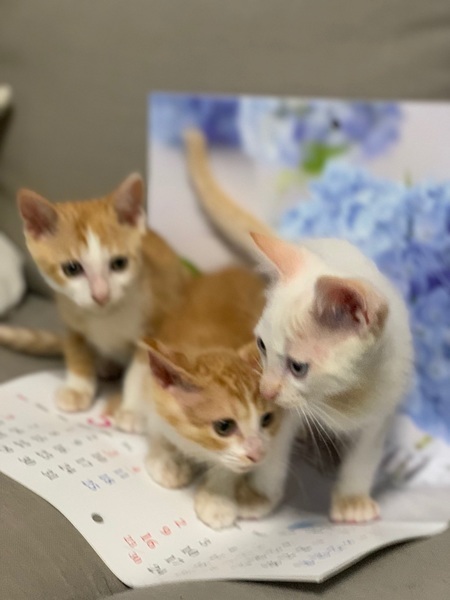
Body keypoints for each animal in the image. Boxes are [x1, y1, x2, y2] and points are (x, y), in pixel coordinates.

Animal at [0, 174, 193, 423]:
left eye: (119, 264)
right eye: (72, 269)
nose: (101, 294)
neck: (105, 317)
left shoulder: (155, 325)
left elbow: (140, 371)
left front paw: (131, 409)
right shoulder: (70, 317)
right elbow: (76, 352)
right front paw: (77, 389)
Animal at [127, 266, 297, 530]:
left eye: (267, 419)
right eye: (224, 426)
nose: (257, 454)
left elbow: (229, 466)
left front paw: (218, 499)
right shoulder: (155, 389)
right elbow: (157, 428)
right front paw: (166, 460)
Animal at [183, 129, 413, 523]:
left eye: (298, 367)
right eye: (261, 347)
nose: (266, 389)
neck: (342, 398)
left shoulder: (381, 411)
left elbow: (364, 457)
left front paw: (352, 499)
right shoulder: (282, 413)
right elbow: (273, 450)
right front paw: (258, 495)